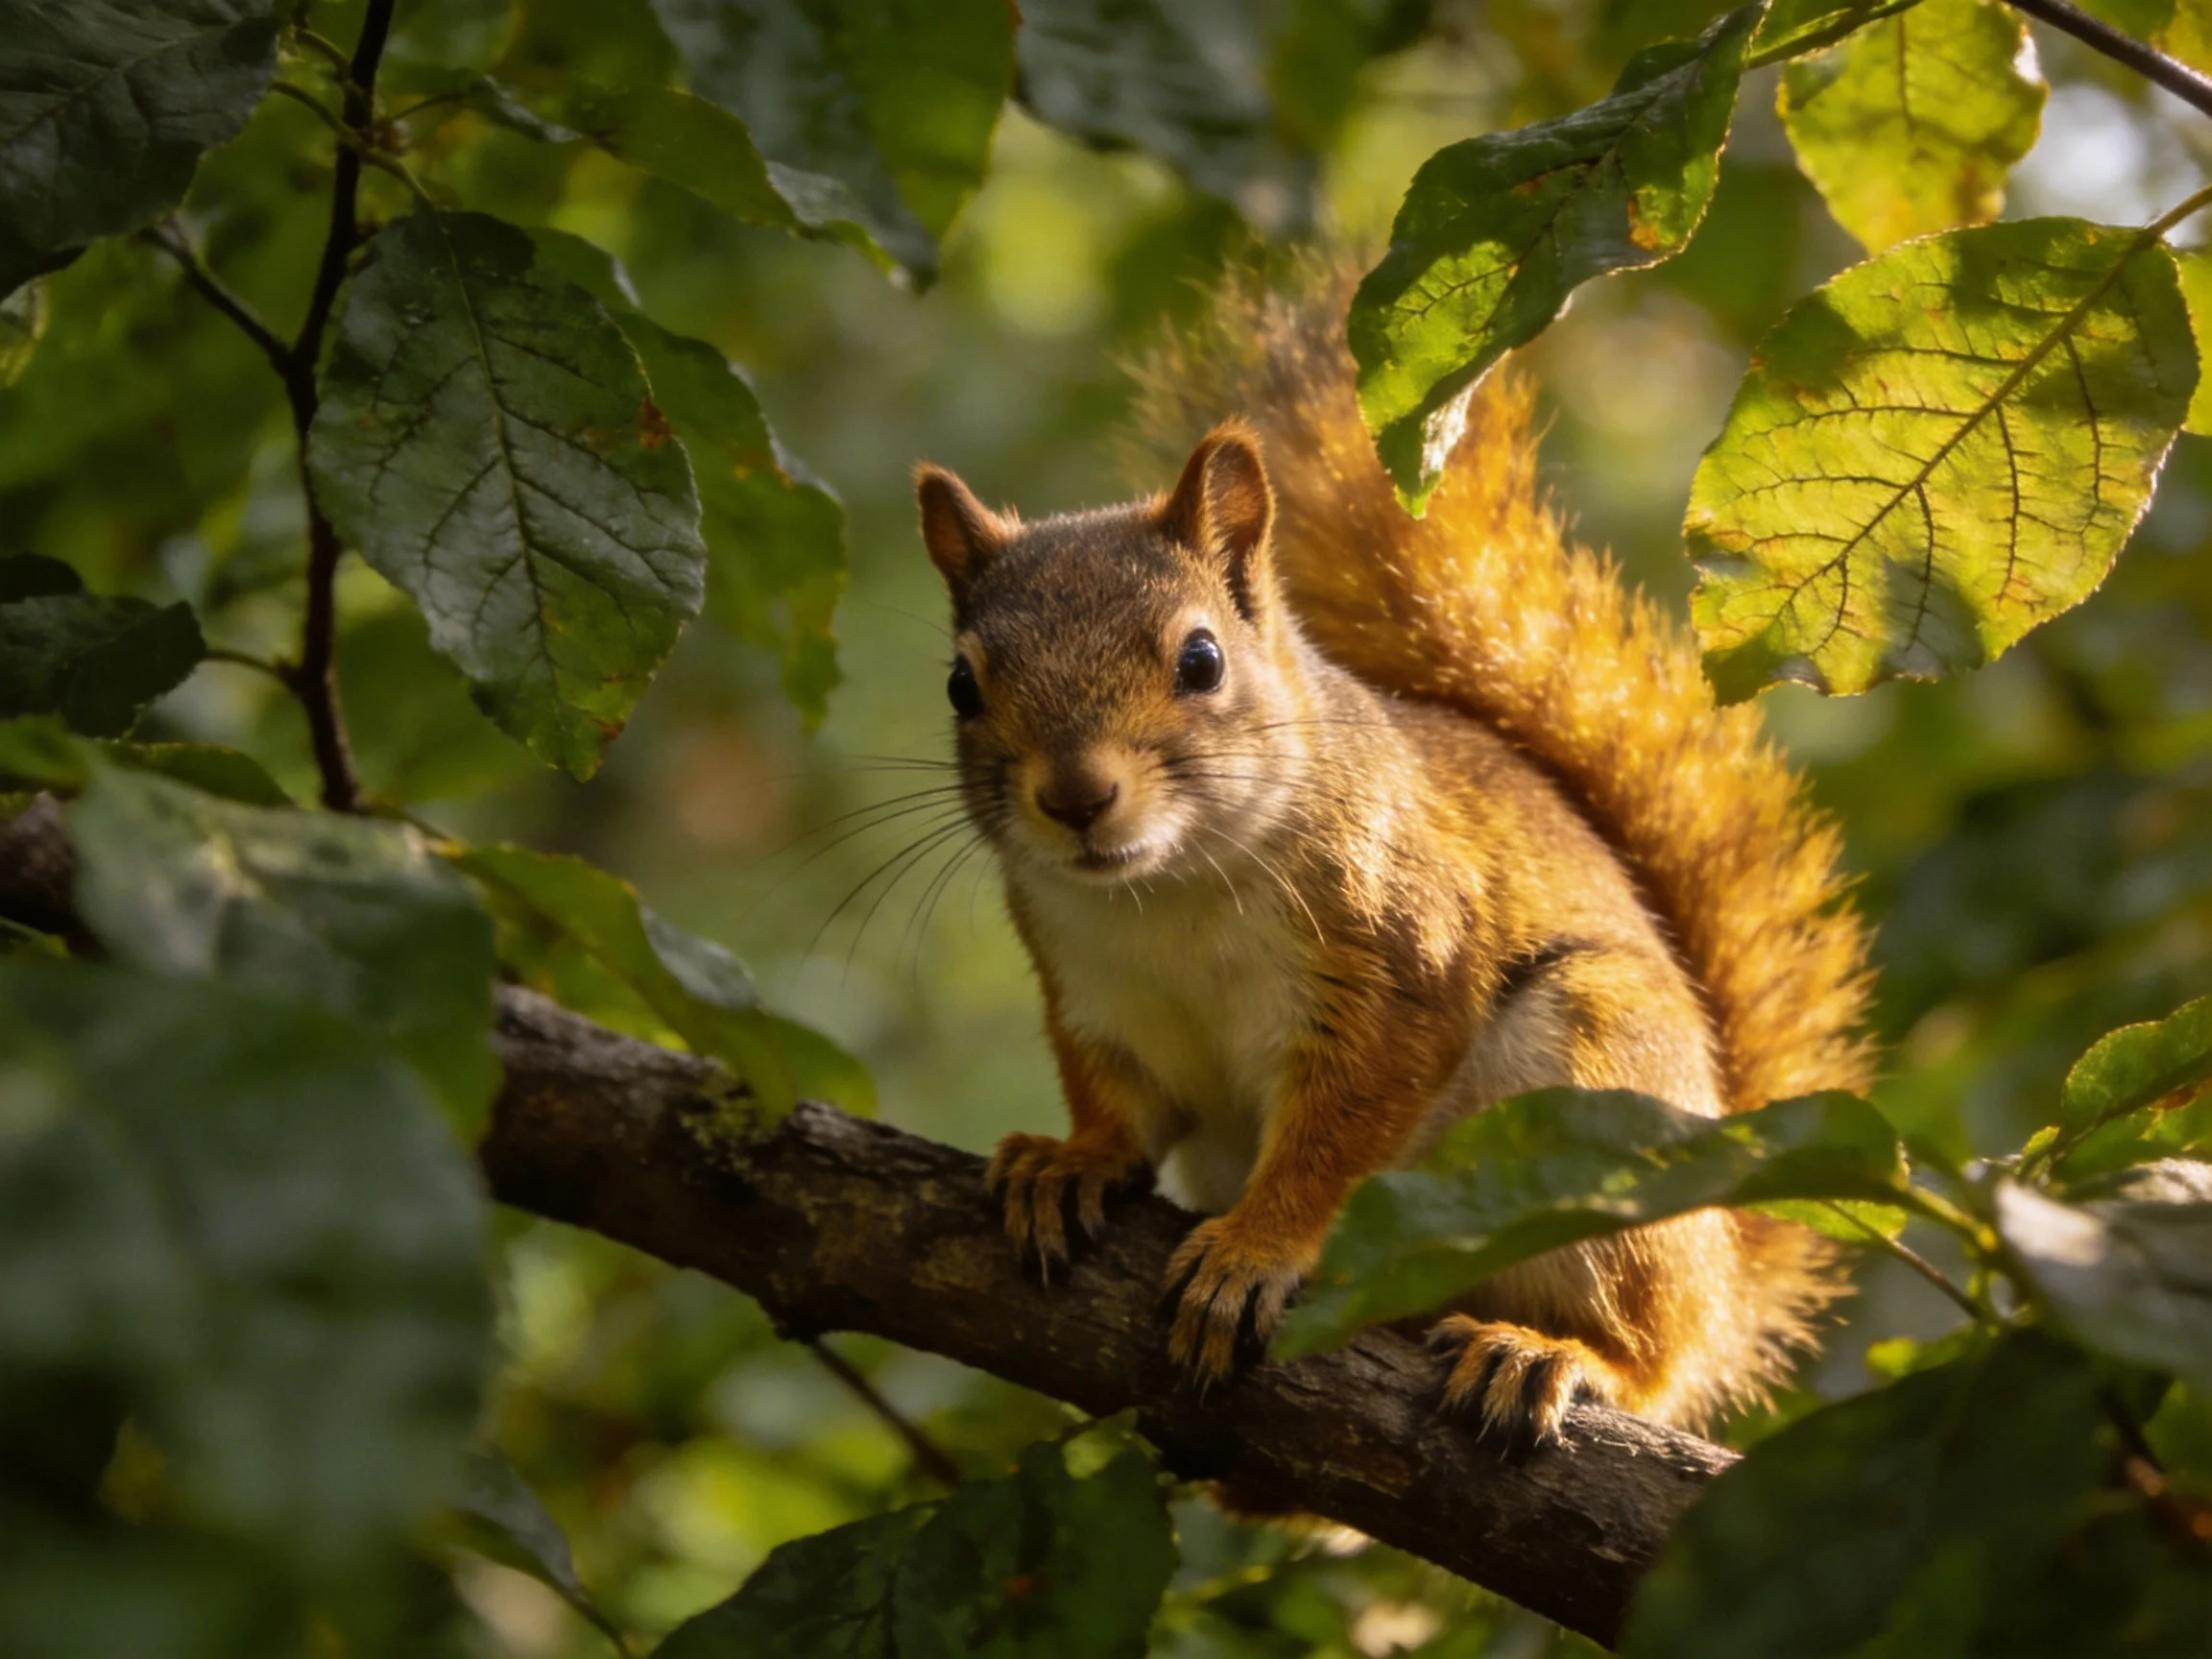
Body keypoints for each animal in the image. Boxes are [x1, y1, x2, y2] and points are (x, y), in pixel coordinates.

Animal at [912, 265, 1874, 1444]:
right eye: (961, 685)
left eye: (1201, 660)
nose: (1076, 798)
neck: (1167, 893)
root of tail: (1732, 1275)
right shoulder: (1094, 993)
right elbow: (1119, 1101)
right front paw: (1071, 1160)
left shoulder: (1401, 966)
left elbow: (1343, 1133)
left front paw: (1253, 1248)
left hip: (1598, 1086)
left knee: (1657, 1347)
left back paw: (1554, 1355)